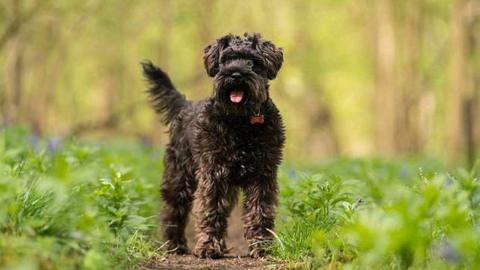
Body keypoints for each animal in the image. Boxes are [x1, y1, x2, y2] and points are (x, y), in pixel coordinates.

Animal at [142, 32, 284, 258]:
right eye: (225, 60)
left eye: (252, 62)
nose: (235, 74)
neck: (240, 122)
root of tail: (185, 106)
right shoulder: (214, 173)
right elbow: (211, 209)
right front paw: (209, 246)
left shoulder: (263, 175)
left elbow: (260, 211)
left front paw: (262, 246)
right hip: (179, 177)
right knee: (173, 212)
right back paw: (175, 245)